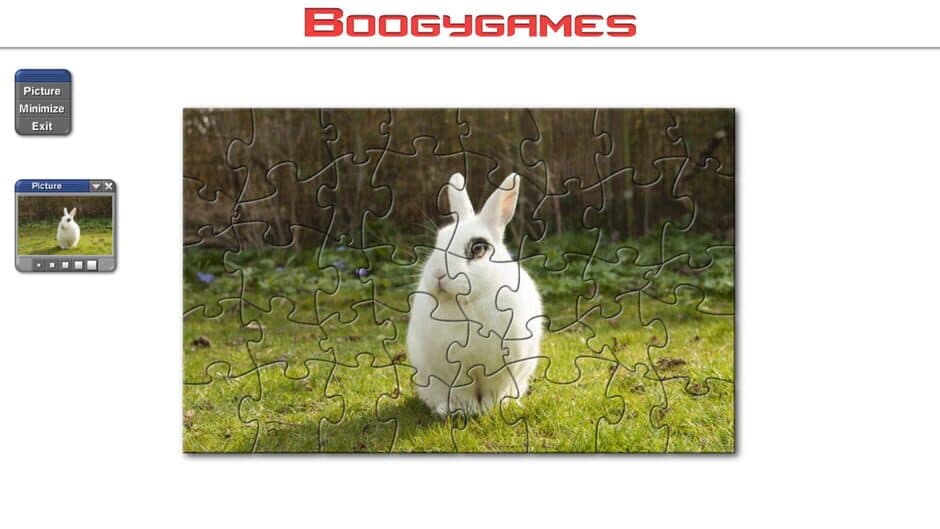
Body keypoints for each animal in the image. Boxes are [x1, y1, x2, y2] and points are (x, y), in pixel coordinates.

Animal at [407, 172, 543, 417]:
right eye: (439, 241)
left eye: (478, 249)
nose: (439, 273)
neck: (468, 304)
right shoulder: (454, 369)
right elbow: (463, 393)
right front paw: (466, 410)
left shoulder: (500, 369)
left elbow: (493, 392)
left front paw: (490, 409)